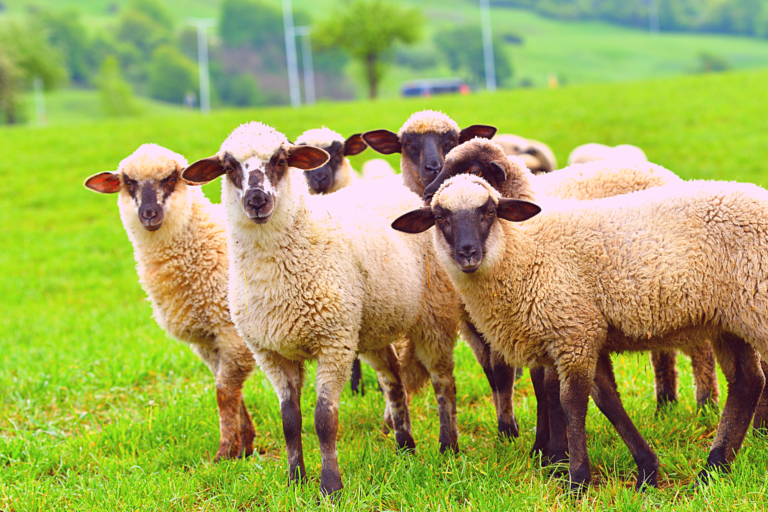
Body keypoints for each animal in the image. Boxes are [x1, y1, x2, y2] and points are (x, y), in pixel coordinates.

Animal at [83, 144, 257, 462]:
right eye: (129, 182)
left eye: (171, 178)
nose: (148, 214)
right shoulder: (208, 341)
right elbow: (231, 391)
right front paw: (245, 446)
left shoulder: (231, 333)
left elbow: (224, 392)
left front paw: (225, 452)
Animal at [181, 122, 462, 496]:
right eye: (228, 167)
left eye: (281, 160)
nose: (257, 200)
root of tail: (406, 192)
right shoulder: (272, 353)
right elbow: (290, 420)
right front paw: (295, 480)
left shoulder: (333, 344)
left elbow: (324, 419)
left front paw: (330, 487)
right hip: (370, 328)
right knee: (393, 380)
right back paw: (405, 447)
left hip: (434, 313)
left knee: (443, 381)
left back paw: (448, 448)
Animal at [392, 165, 768, 492]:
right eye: (440, 218)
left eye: (489, 211)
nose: (467, 253)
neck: (523, 253)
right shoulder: (586, 332)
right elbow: (607, 400)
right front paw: (647, 471)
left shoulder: (574, 332)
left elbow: (571, 401)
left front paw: (577, 481)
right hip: (727, 321)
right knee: (747, 382)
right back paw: (713, 470)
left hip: (755, 311)